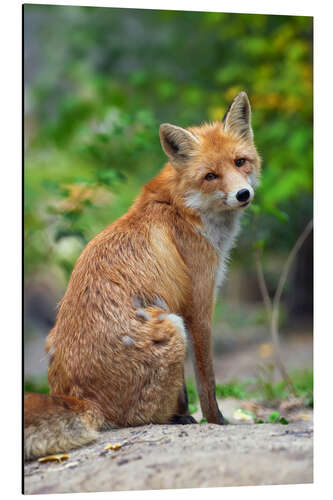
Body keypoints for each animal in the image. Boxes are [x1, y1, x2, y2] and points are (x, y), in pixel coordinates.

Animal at [24, 92, 260, 458]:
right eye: (210, 176)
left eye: (240, 162)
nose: (243, 195)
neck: (183, 208)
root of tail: (80, 398)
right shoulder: (197, 307)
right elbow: (206, 380)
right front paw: (216, 421)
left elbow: (188, 388)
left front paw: (188, 414)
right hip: (172, 327)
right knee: (141, 417)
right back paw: (172, 419)